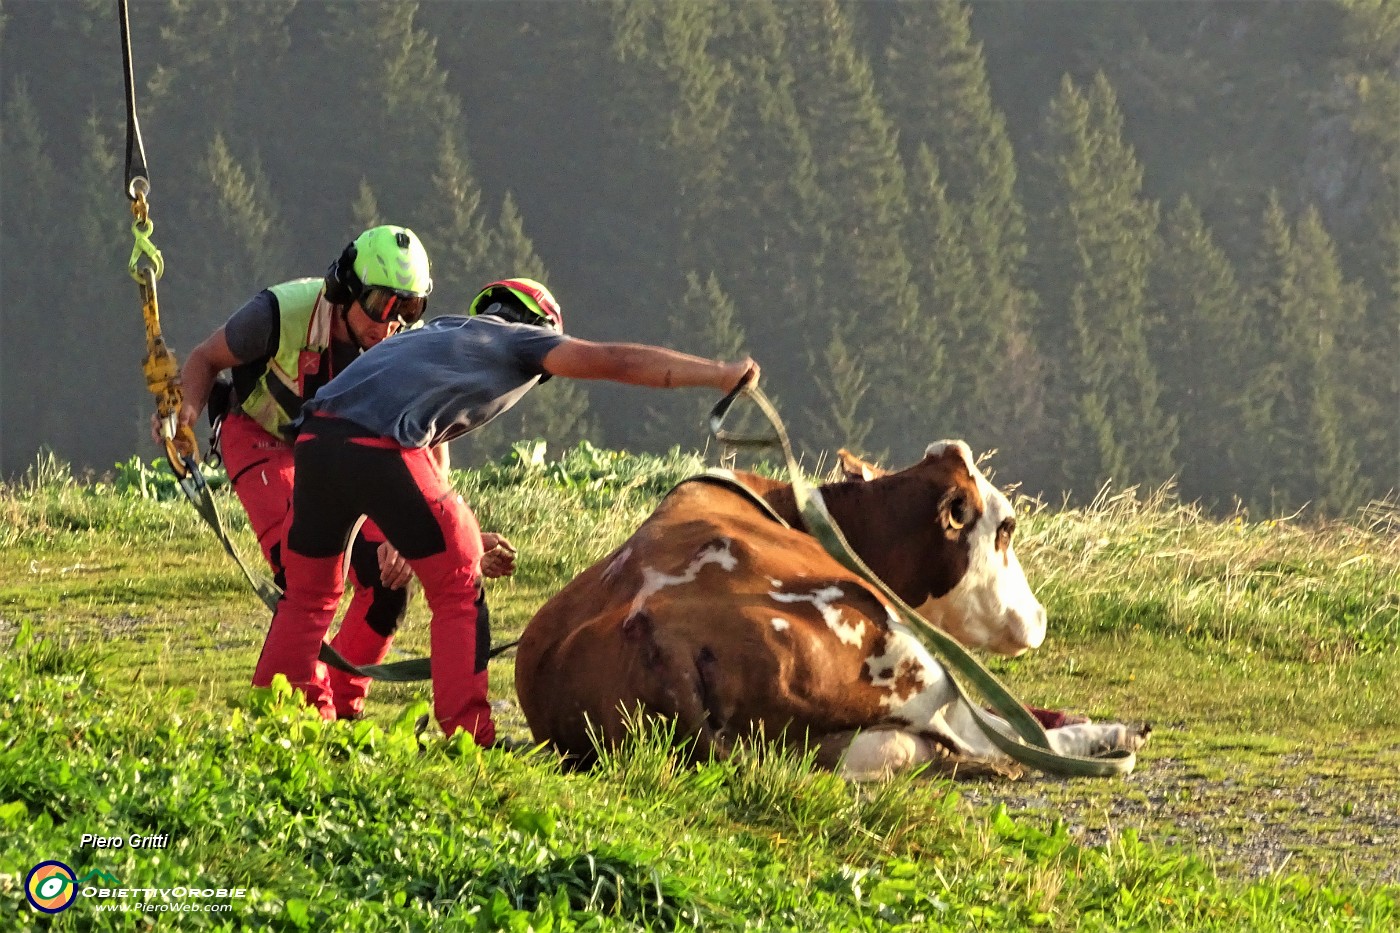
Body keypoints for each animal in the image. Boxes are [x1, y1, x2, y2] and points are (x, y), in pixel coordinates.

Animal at [515, 439, 1148, 773]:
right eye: (1007, 527)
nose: (1040, 618)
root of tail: (650, 631)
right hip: (906, 657)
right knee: (982, 736)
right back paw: (1111, 736)